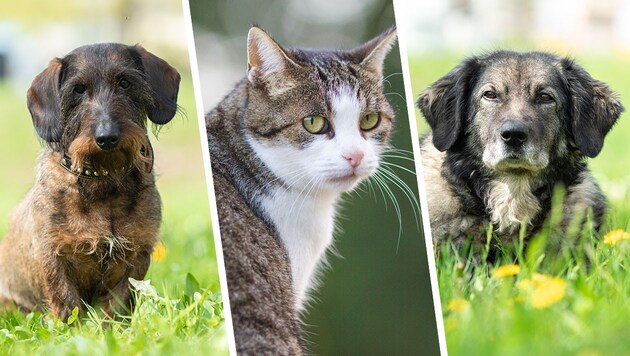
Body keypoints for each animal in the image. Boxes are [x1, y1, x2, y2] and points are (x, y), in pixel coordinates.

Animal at [0, 43, 180, 318]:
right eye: (78, 89)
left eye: (125, 83)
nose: (107, 137)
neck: (104, 184)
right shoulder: (54, 257)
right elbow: (67, 305)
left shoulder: (135, 257)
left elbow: (115, 309)